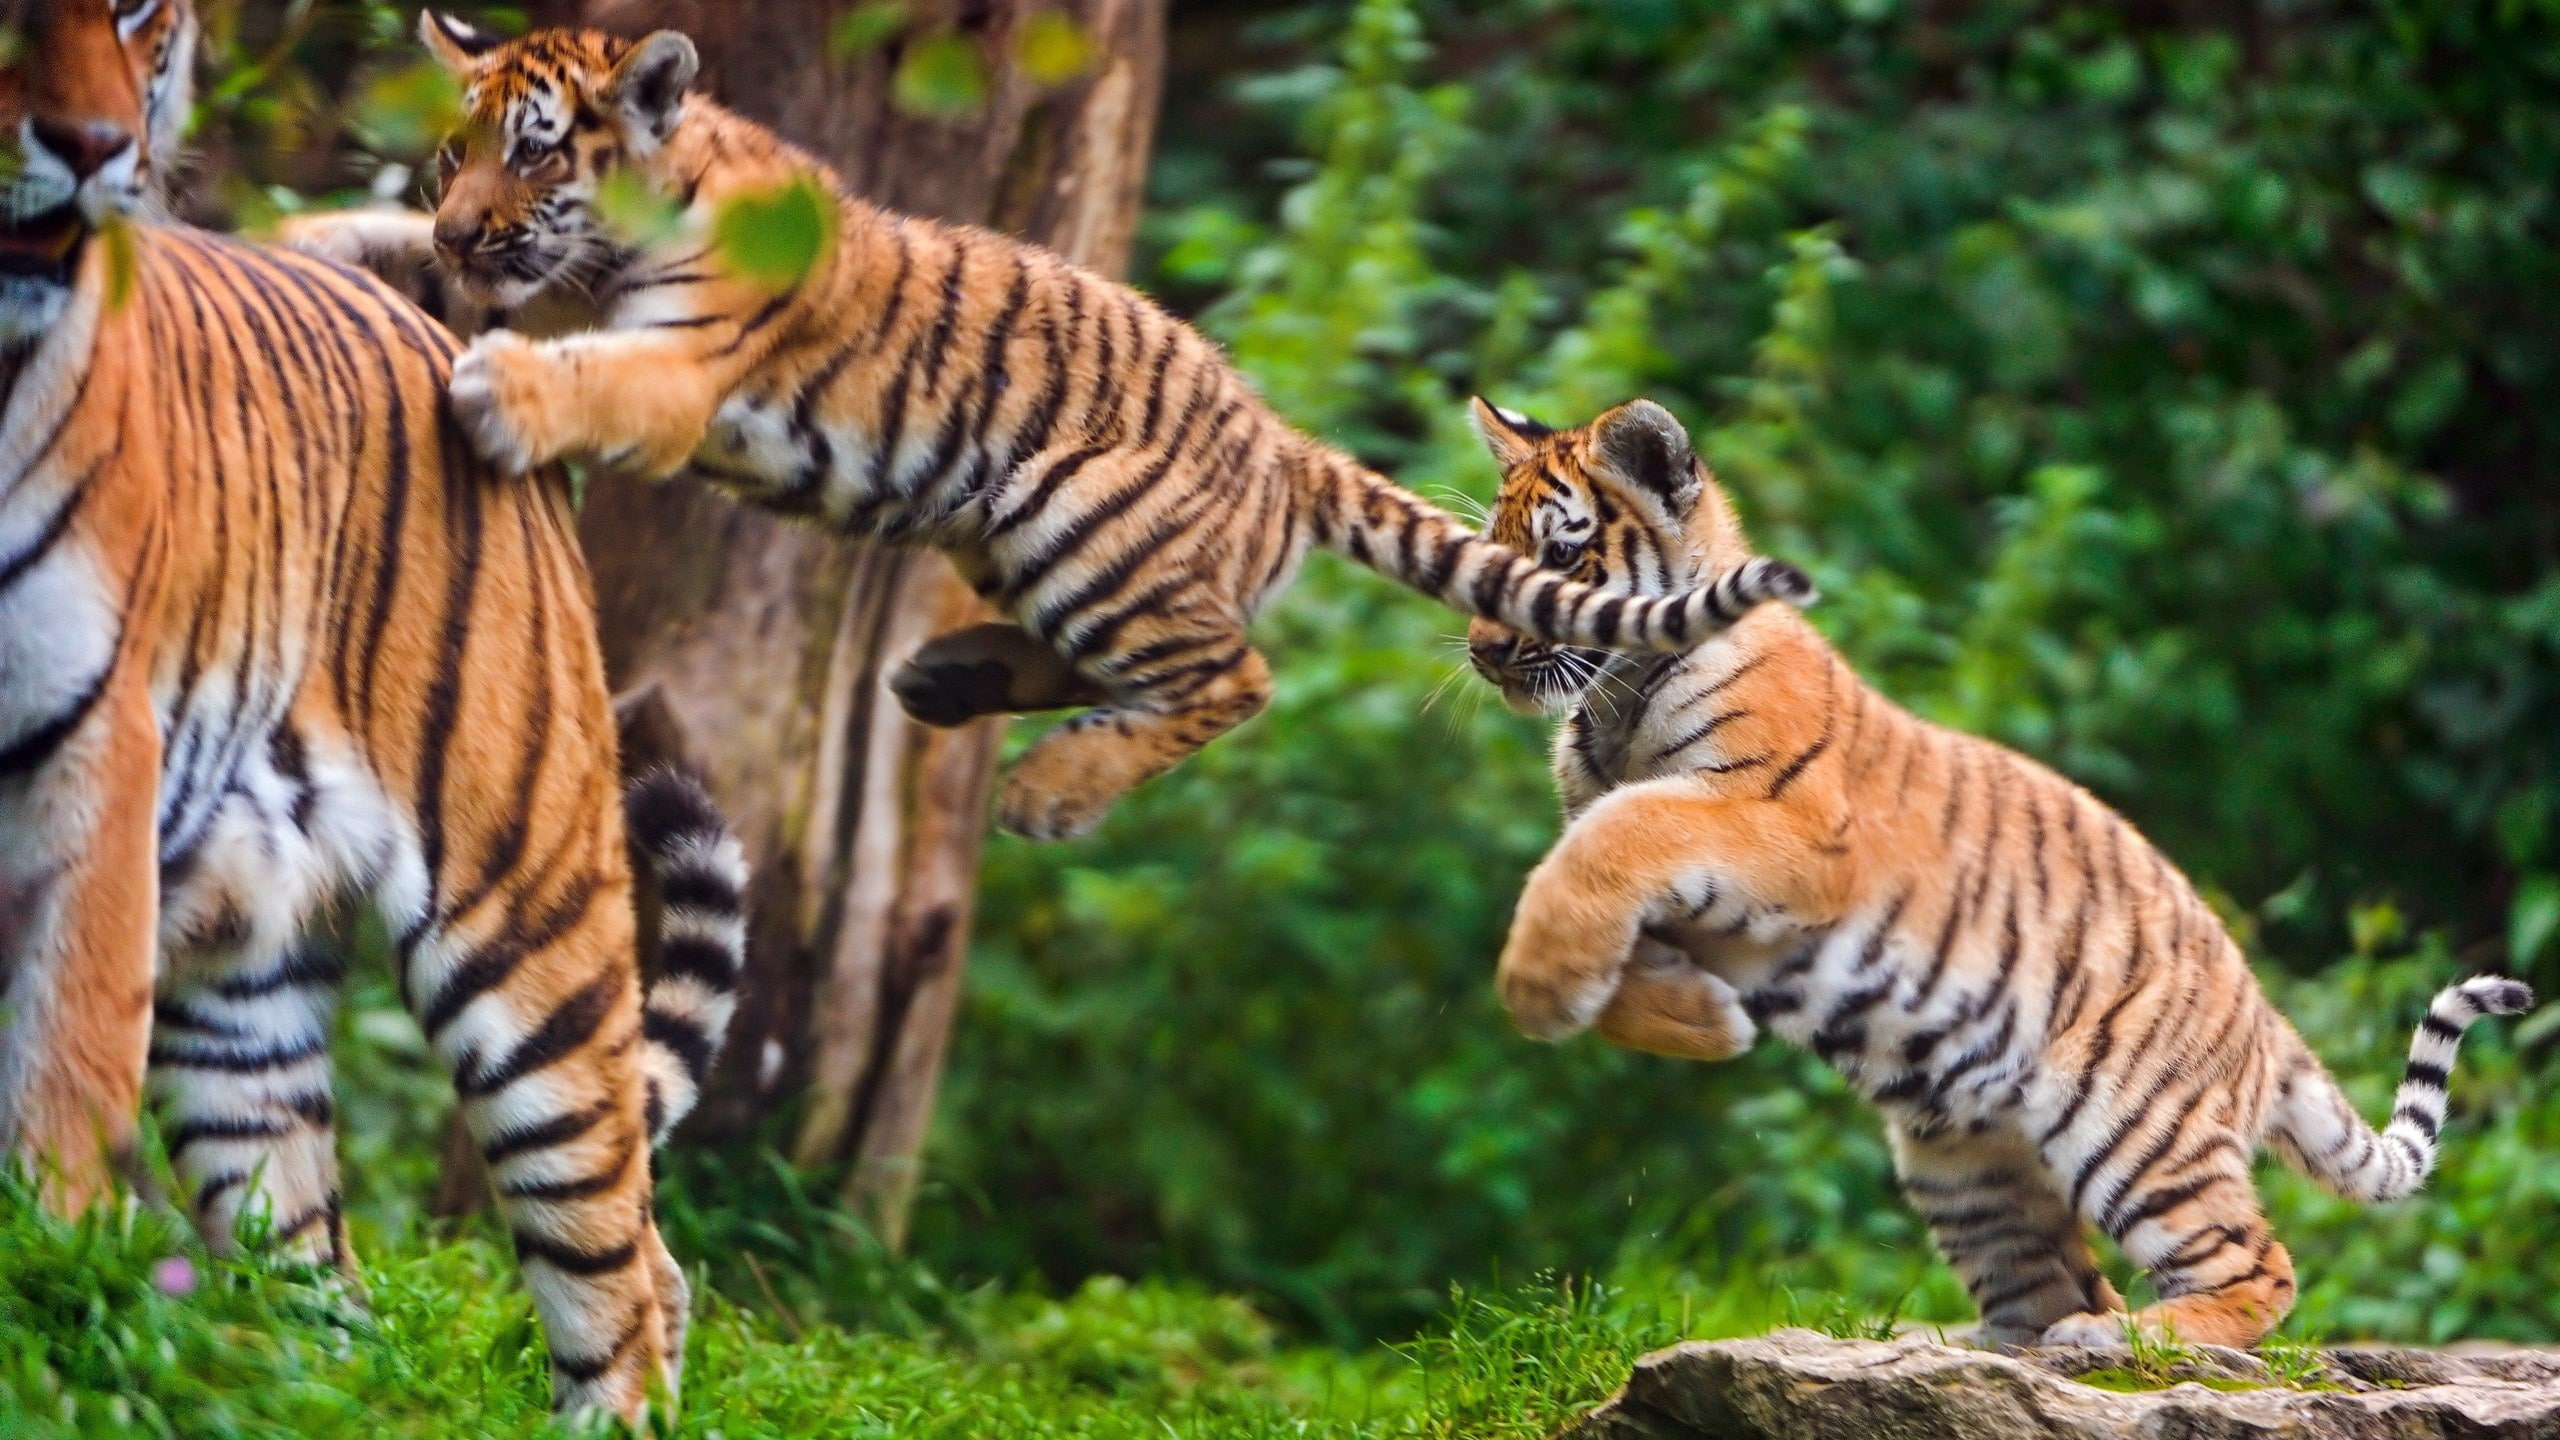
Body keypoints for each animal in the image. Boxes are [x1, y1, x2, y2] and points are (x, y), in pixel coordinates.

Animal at [0, 1, 747, 1421]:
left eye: (134, 13)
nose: (89, 148)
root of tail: (444, 329)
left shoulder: (90, 768)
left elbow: (55, 1100)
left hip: (524, 922)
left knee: (617, 1269)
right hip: (239, 1001)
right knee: (323, 1279)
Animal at [276, 14, 1815, 841]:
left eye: (536, 151)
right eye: (451, 152)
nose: (462, 228)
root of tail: (1278, 441)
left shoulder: (681, 365)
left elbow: (584, 376)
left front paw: (502, 393)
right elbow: (376, 250)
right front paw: (305, 236)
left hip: (1074, 517)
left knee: (1230, 676)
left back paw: (1050, 793)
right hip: (1012, 539)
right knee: (1140, 661)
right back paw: (949, 678)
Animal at [1460, 396, 2533, 1350]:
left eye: (1562, 555)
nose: (1482, 650)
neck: (1611, 711)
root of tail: (2265, 1019)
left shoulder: (1788, 833)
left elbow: (1614, 835)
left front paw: (1548, 988)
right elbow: (1608, 913)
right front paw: (1693, 1017)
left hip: (2132, 1124)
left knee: (2255, 1270)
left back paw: (2128, 1343)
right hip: (1961, 1164)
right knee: (2058, 1283)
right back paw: (1979, 1346)